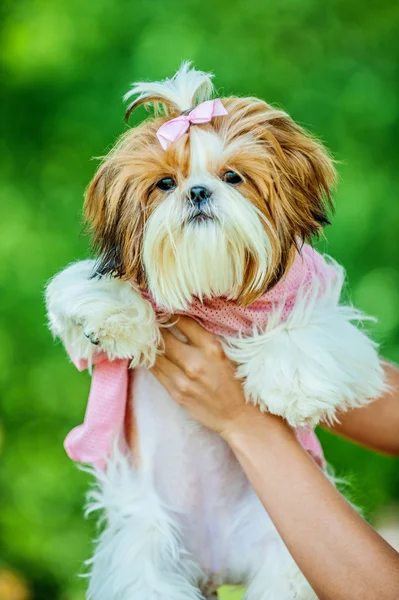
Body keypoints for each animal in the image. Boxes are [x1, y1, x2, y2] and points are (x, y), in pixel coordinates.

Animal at [45, 63, 386, 596]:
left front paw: (291, 387)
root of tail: (216, 563)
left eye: (233, 177)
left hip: (289, 558)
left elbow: (310, 329)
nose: (198, 191)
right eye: (165, 183)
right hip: (144, 551)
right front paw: (115, 317)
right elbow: (96, 294)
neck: (214, 294)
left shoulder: (317, 295)